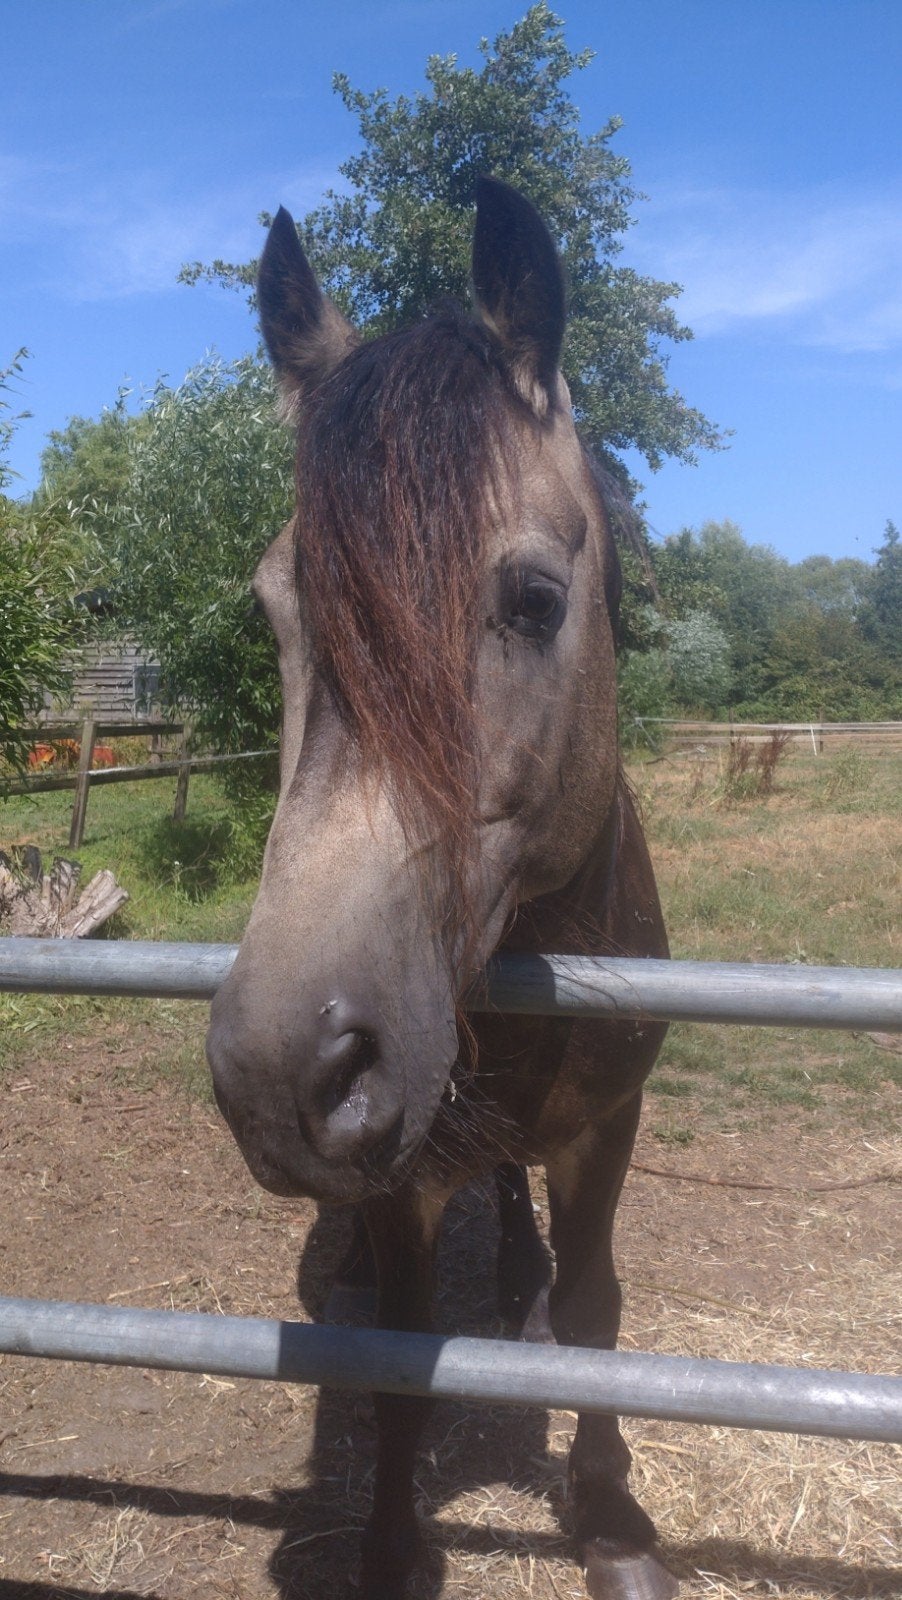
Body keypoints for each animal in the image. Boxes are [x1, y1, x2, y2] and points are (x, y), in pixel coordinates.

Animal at [206, 176, 676, 1600]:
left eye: (530, 598)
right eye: (276, 609)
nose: (281, 1073)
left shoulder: (606, 1124)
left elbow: (592, 1312)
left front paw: (611, 1521)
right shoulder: (402, 1178)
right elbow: (401, 1360)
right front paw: (389, 1547)